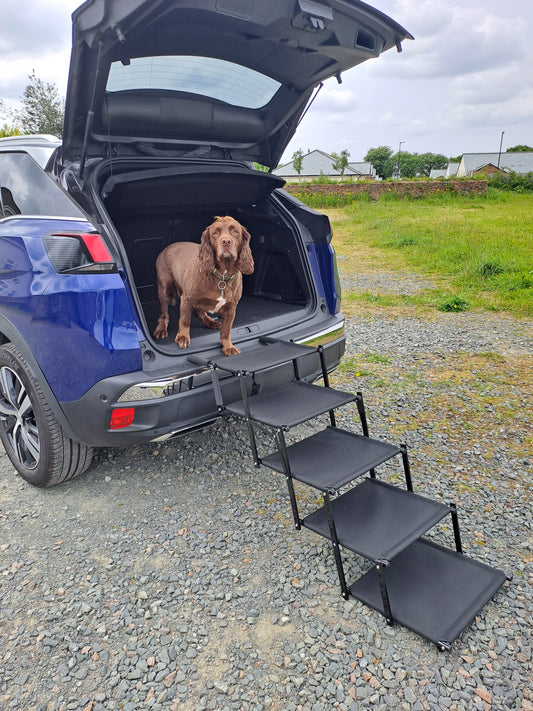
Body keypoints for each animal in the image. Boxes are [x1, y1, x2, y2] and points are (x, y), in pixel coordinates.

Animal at [154, 216, 254, 356]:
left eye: (235, 231)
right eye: (215, 233)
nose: (226, 241)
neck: (222, 276)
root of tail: (166, 248)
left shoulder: (231, 307)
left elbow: (226, 330)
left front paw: (228, 347)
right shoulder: (187, 299)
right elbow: (185, 320)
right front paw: (182, 338)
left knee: (198, 312)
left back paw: (211, 322)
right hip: (165, 287)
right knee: (164, 313)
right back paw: (161, 329)